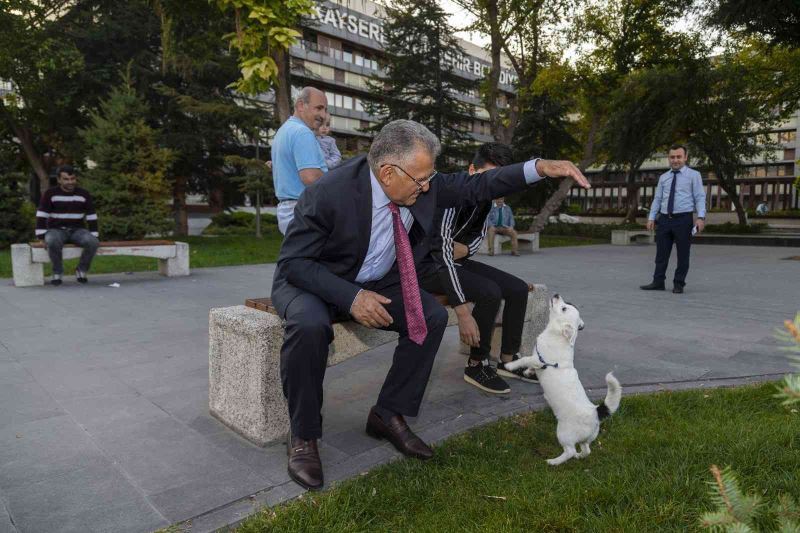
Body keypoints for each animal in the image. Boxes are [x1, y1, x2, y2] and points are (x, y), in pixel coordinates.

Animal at [504, 296, 620, 466]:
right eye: (568, 304)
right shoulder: (537, 362)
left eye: (564, 308)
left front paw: (510, 365)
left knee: (569, 451)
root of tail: (595, 412)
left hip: (564, 434)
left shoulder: (537, 359)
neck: (557, 335)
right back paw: (579, 456)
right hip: (586, 439)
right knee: (586, 450)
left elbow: (524, 359)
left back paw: (554, 461)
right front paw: (527, 372)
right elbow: (530, 366)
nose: (557, 295)